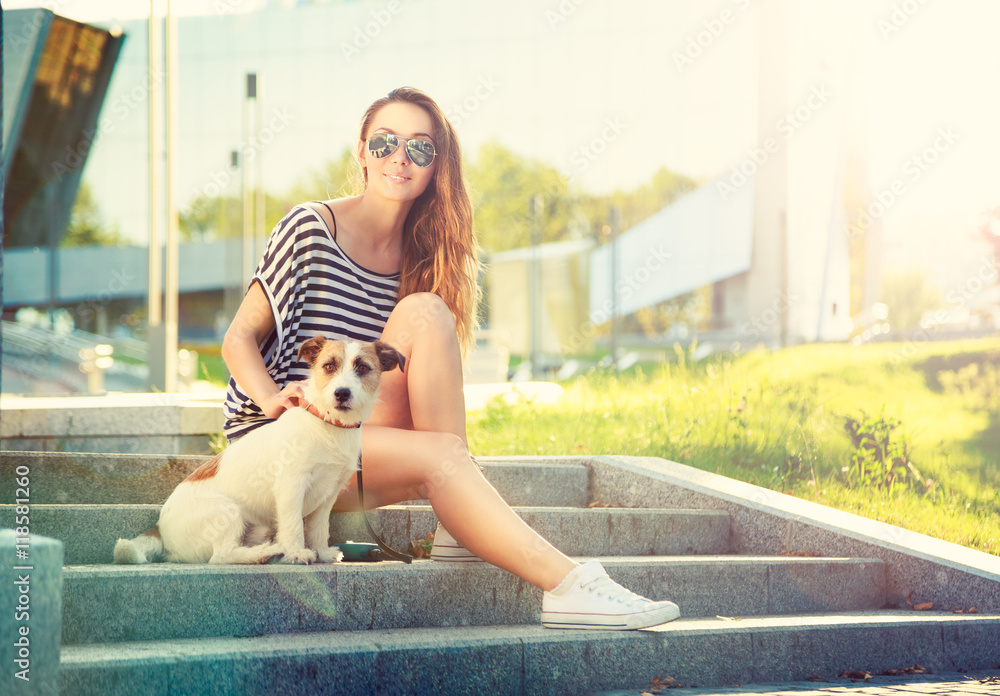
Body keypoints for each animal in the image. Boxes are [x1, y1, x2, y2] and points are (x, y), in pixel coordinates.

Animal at [113, 338, 402, 564]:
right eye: (328, 366)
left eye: (362, 368)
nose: (341, 393)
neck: (328, 424)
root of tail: (160, 529)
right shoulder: (291, 486)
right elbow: (294, 524)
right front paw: (297, 552)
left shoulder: (328, 494)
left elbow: (319, 527)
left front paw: (321, 552)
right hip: (227, 512)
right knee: (221, 556)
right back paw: (266, 553)